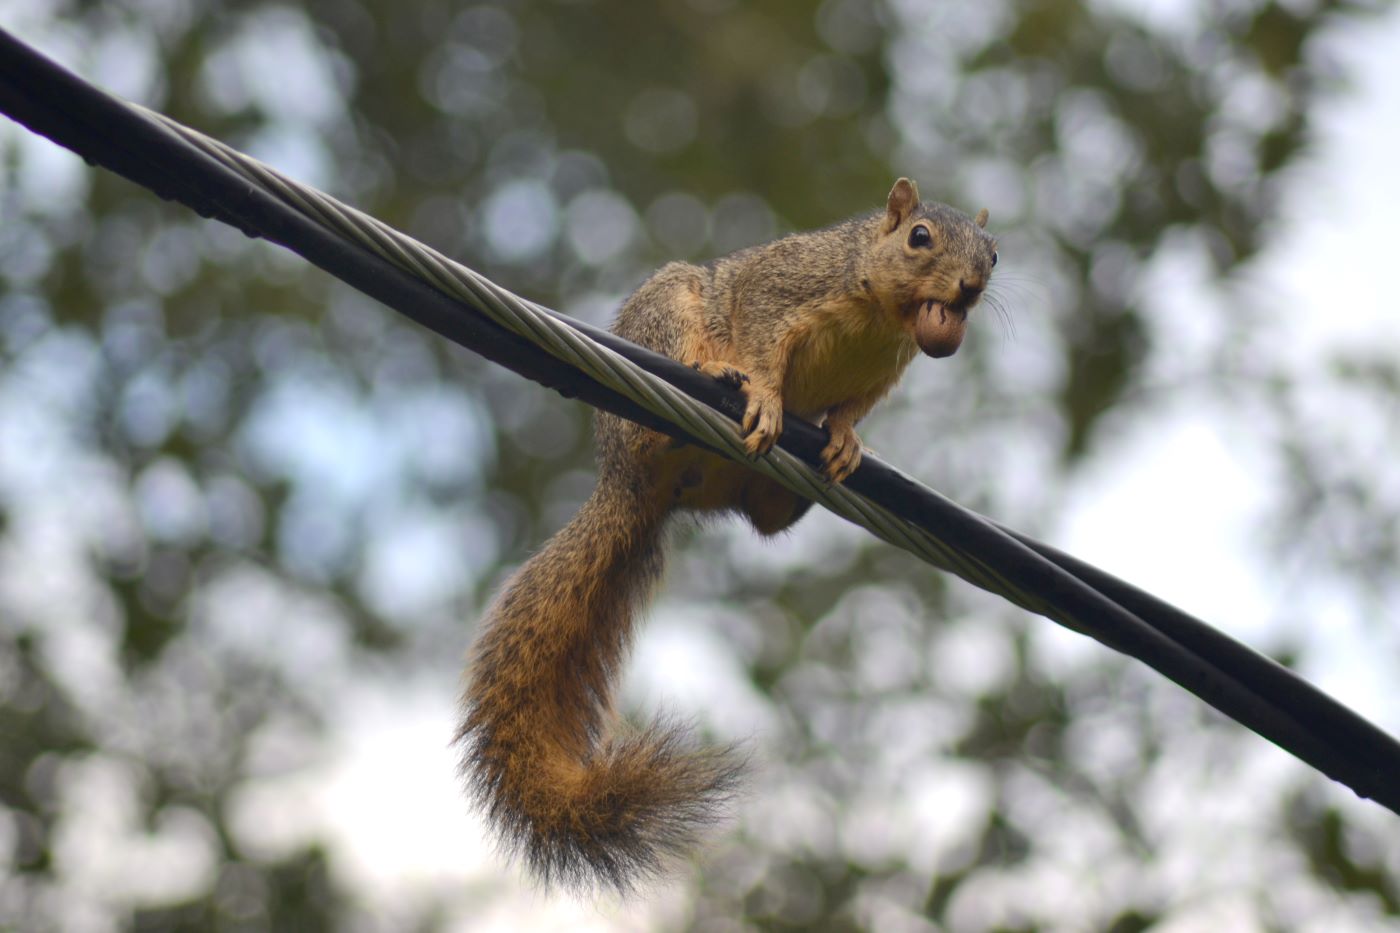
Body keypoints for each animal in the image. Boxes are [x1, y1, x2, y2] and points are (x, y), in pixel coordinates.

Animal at [456, 177, 996, 890]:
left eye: (994, 252)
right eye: (920, 237)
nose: (968, 287)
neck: (883, 315)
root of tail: (630, 484)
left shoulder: (883, 371)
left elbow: (851, 409)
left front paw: (847, 439)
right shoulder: (783, 288)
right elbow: (765, 347)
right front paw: (763, 393)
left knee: (765, 517)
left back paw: (790, 493)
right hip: (669, 317)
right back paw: (713, 379)